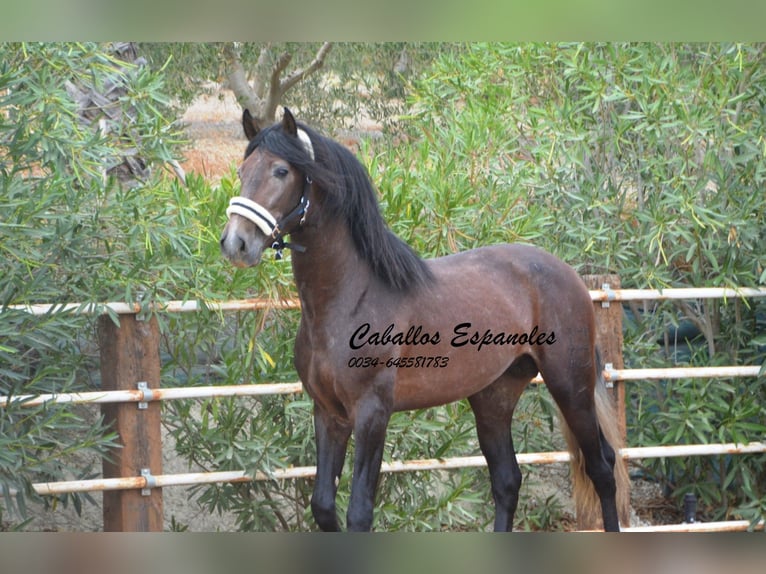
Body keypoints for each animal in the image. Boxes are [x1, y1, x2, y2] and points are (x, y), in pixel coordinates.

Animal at [220, 109, 632, 536]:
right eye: (242, 170)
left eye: (281, 171)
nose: (235, 243)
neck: (351, 297)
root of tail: (570, 275)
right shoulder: (328, 413)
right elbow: (322, 506)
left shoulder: (372, 414)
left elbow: (359, 513)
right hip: (494, 396)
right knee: (507, 480)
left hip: (570, 386)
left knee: (602, 469)